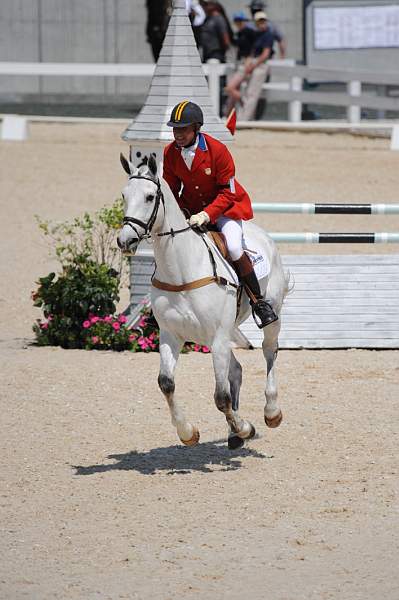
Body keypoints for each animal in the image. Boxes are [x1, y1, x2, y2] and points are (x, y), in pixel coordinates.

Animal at [117, 152, 290, 448]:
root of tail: (262, 235)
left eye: (150, 197)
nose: (124, 240)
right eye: (124, 195)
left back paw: (271, 412)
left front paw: (244, 427)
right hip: (222, 334)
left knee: (269, 352)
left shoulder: (217, 337)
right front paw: (188, 432)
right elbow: (166, 383)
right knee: (236, 370)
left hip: (264, 319)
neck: (181, 270)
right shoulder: (171, 335)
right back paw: (234, 435)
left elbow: (220, 397)